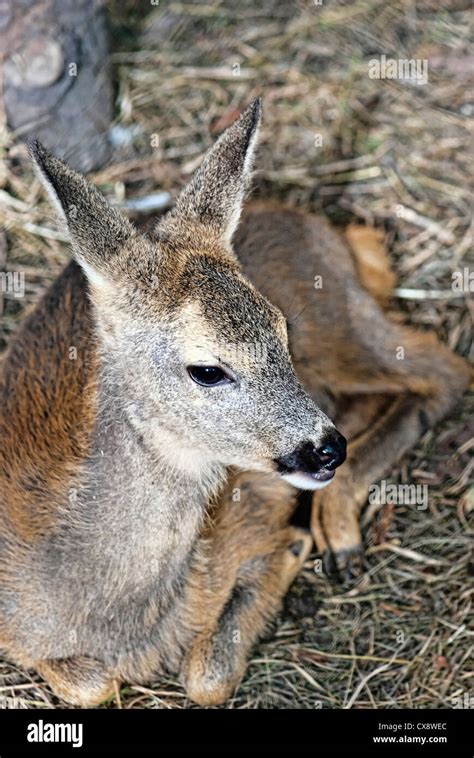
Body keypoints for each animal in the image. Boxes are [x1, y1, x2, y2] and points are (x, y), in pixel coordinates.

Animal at [0, 99, 470, 708]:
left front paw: (294, 546)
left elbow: (206, 678)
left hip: (340, 322)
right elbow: (91, 683)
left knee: (447, 371)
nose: (326, 449)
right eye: (207, 369)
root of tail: (324, 227)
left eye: (281, 329)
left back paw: (337, 529)